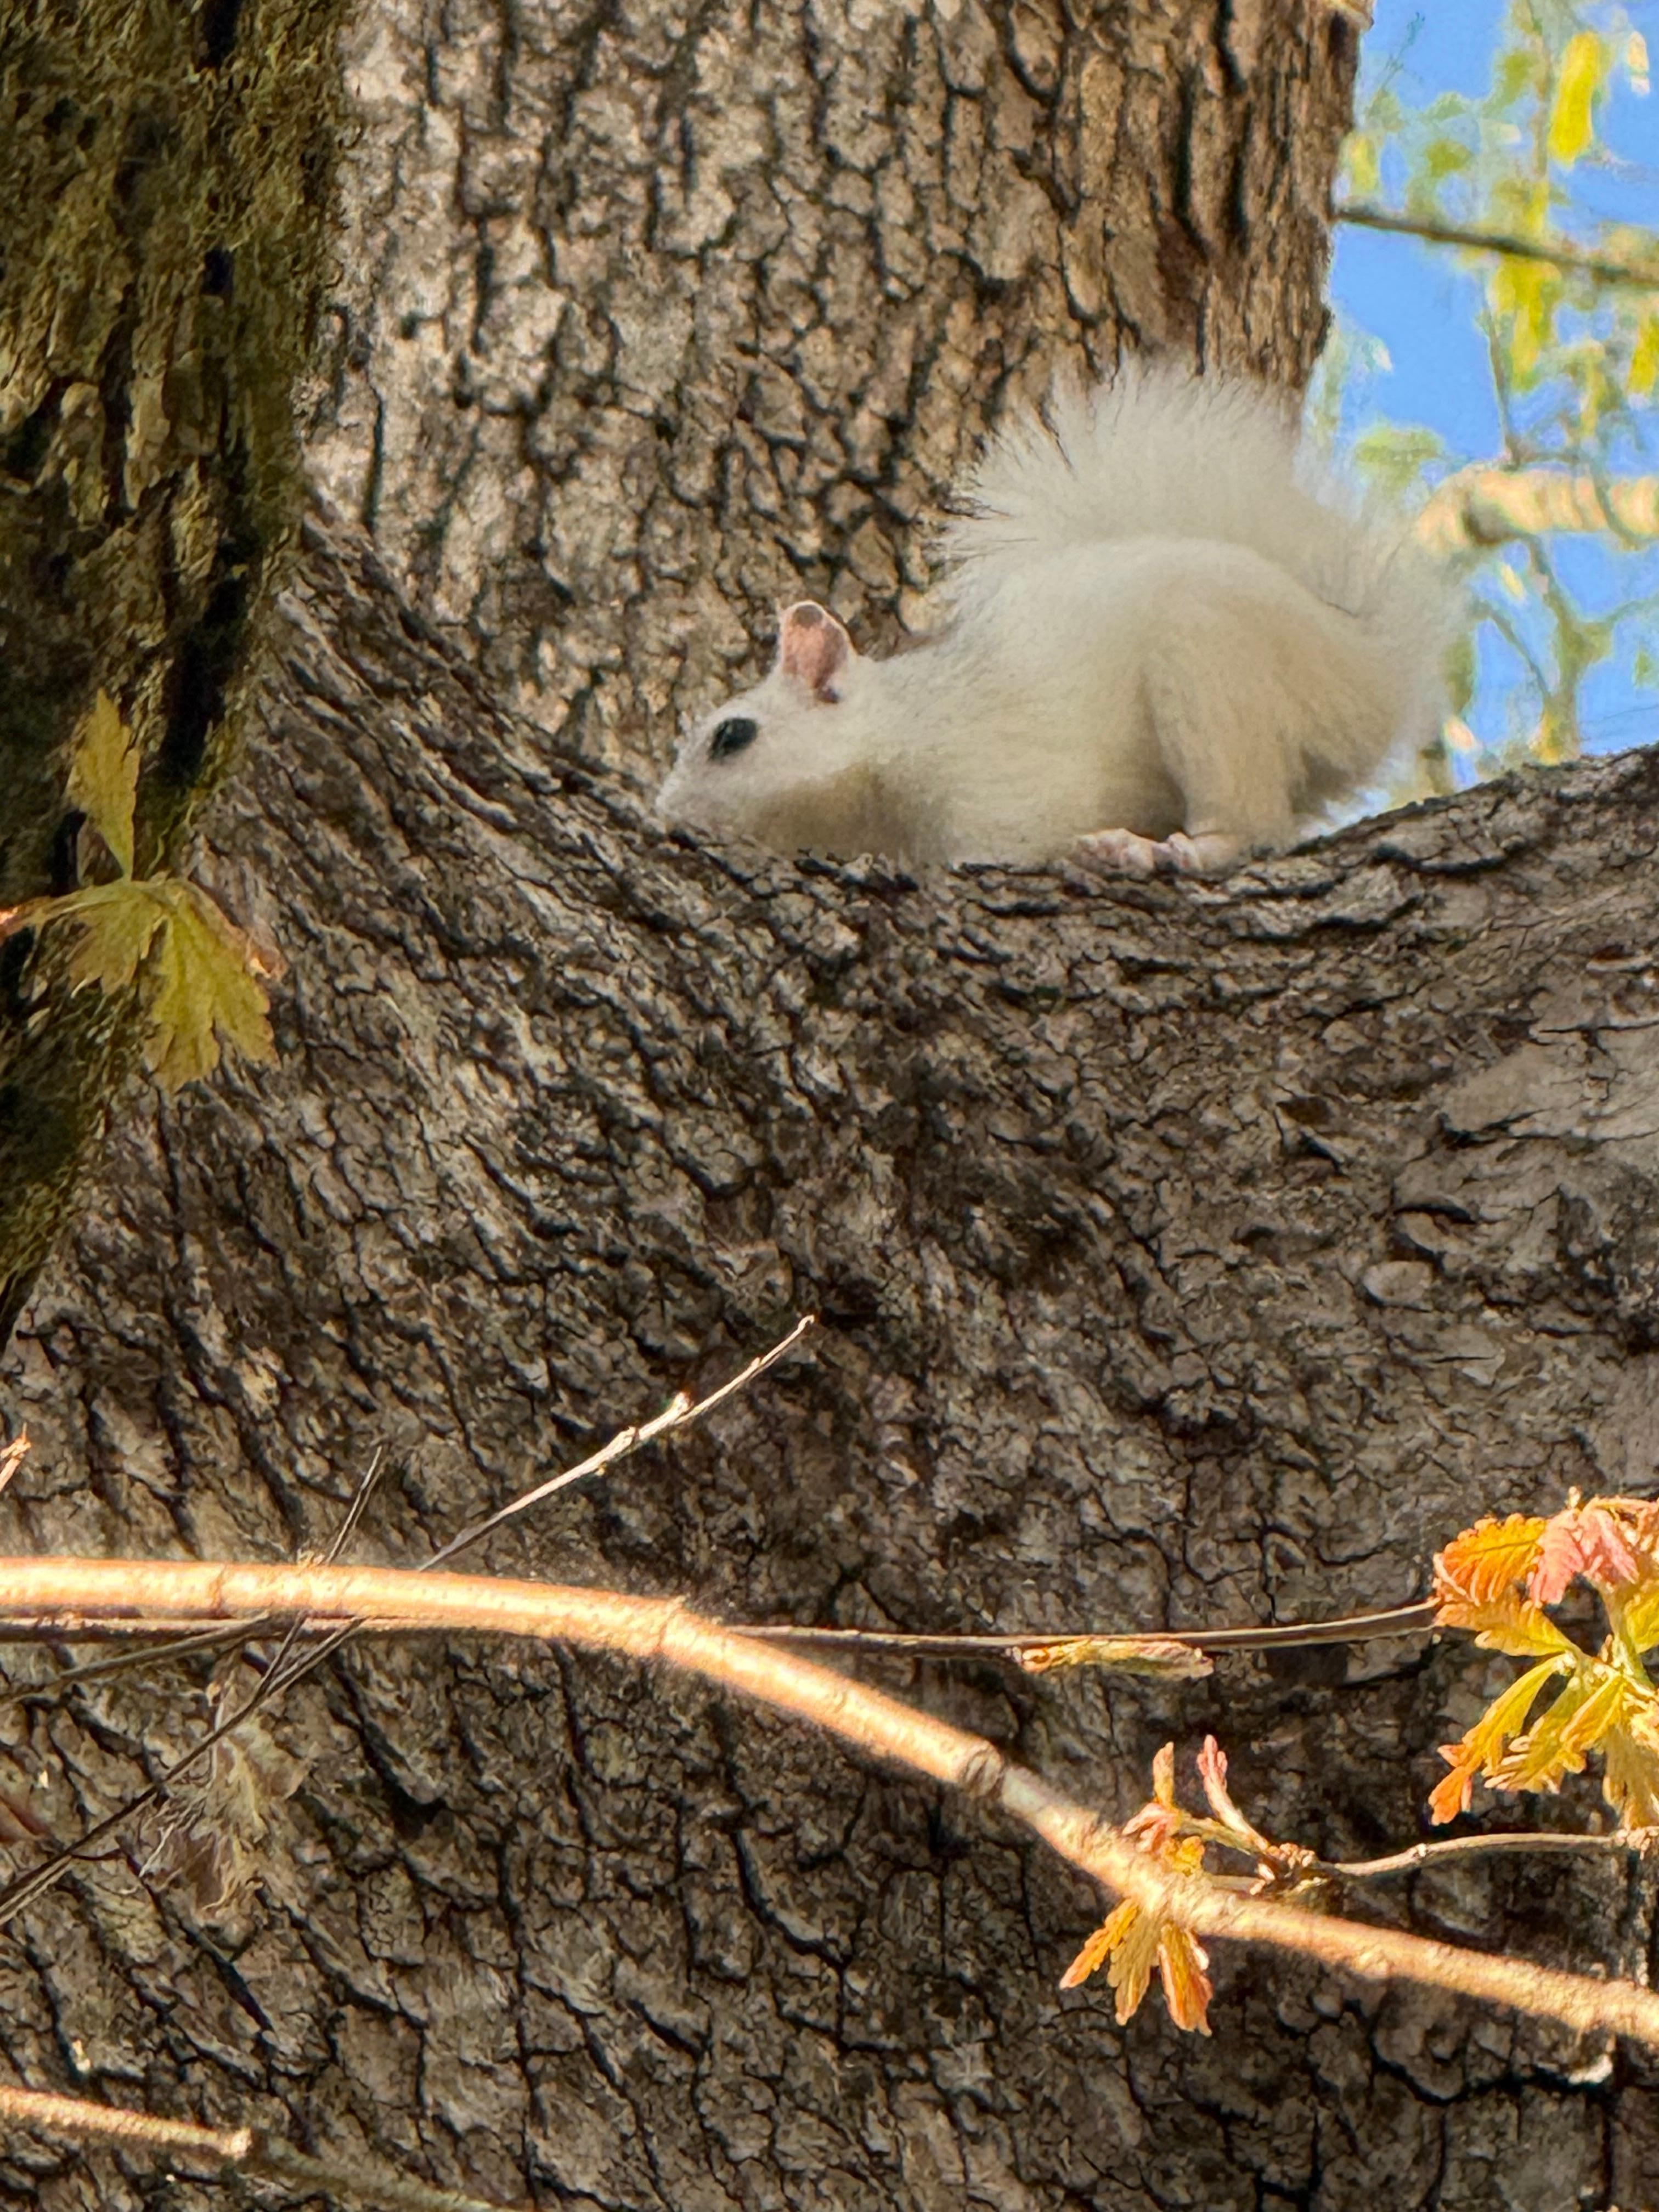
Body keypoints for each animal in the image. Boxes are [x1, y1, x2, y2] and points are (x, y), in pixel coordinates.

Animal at [654, 362, 1456, 877]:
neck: (900, 733)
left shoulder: (1000, 798)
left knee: (1252, 827)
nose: (665, 818)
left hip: (1213, 670)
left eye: (732, 737)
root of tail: (1375, 674)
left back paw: (1156, 850)